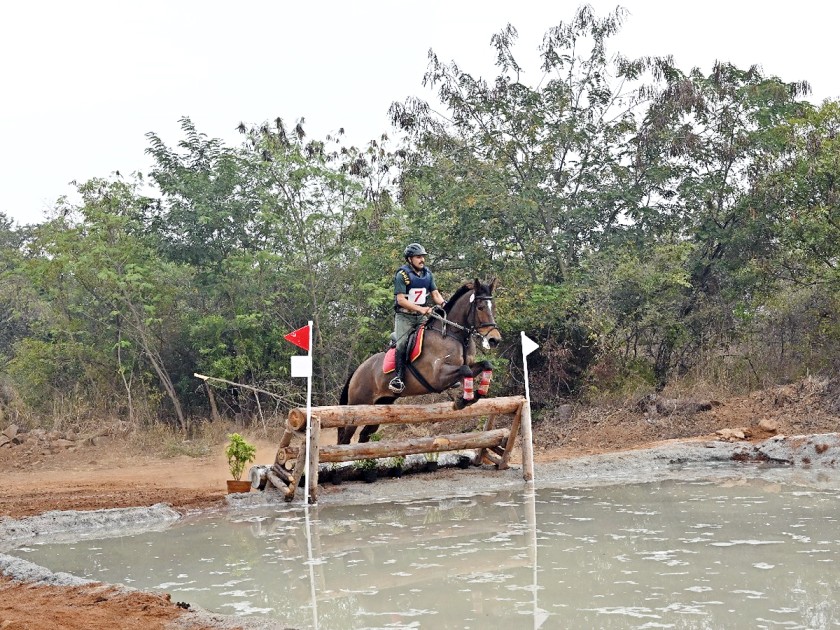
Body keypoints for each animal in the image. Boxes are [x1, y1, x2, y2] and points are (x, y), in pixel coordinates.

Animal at [338, 278, 502, 446]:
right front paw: (462, 401)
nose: (494, 340)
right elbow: (465, 370)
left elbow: (485, 365)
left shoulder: (466, 366)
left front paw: (477, 395)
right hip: (358, 405)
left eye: (493, 307)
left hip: (382, 403)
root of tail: (357, 370)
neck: (453, 335)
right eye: (480, 307)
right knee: (346, 437)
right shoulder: (437, 378)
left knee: (365, 434)